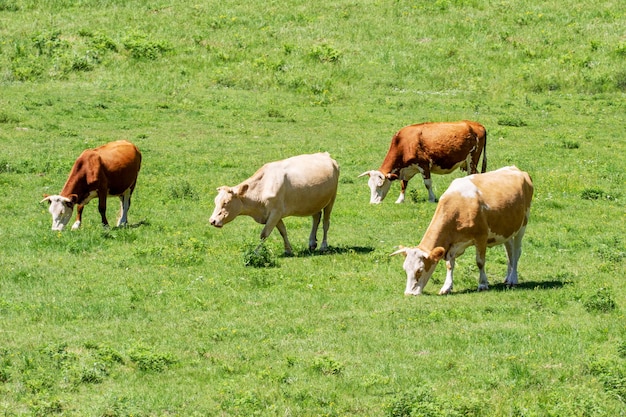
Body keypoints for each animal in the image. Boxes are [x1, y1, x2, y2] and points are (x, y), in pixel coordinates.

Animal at [208, 151, 336, 255]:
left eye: (226, 202)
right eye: (215, 201)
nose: (212, 221)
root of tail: (326, 155)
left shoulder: (275, 212)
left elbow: (264, 234)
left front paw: (255, 252)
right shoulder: (274, 214)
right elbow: (283, 231)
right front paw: (288, 250)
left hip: (331, 200)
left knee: (326, 223)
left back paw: (323, 246)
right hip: (314, 203)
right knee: (316, 217)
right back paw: (312, 243)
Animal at [358, 119, 486, 204]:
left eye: (379, 185)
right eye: (370, 185)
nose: (372, 203)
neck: (404, 143)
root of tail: (476, 124)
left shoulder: (424, 165)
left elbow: (427, 183)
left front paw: (432, 198)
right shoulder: (406, 169)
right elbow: (403, 184)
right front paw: (400, 200)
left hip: (472, 160)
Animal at [390, 166, 532, 296]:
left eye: (420, 270)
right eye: (405, 269)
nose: (409, 293)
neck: (458, 207)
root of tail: (516, 169)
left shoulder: (481, 237)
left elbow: (480, 262)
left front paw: (482, 284)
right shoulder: (451, 245)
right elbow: (449, 265)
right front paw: (447, 287)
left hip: (522, 225)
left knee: (516, 252)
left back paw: (513, 279)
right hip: (506, 230)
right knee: (509, 252)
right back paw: (508, 277)